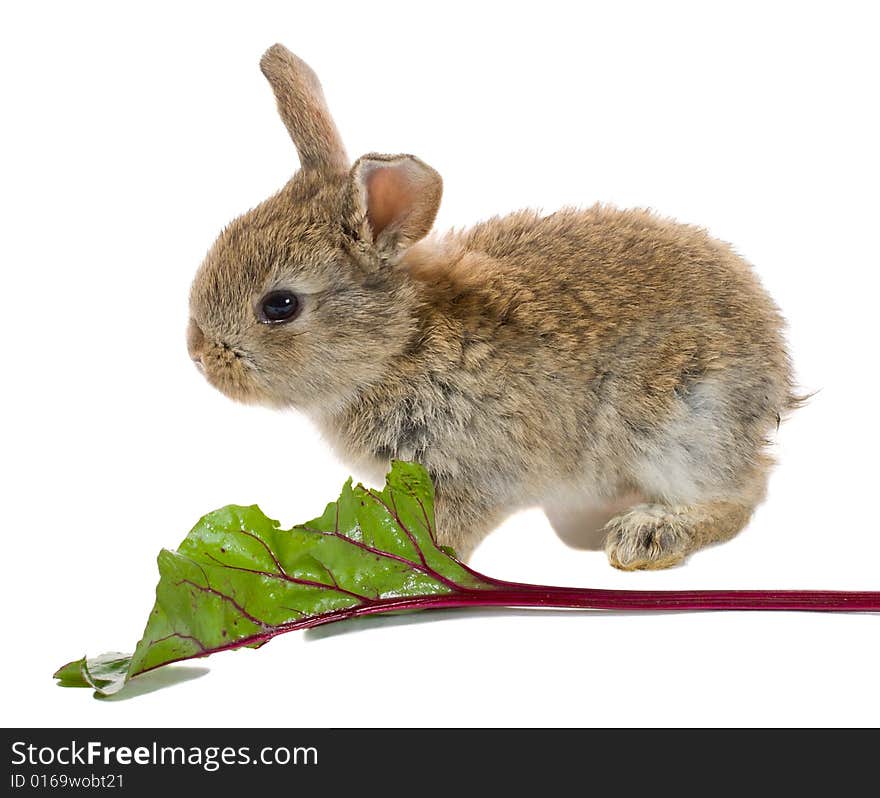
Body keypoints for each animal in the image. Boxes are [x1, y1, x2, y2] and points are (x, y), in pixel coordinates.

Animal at [189, 45, 800, 568]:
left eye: (280, 306)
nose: (198, 355)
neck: (401, 345)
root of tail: (776, 375)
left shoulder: (476, 474)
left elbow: (446, 531)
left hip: (679, 424)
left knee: (741, 496)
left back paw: (647, 536)